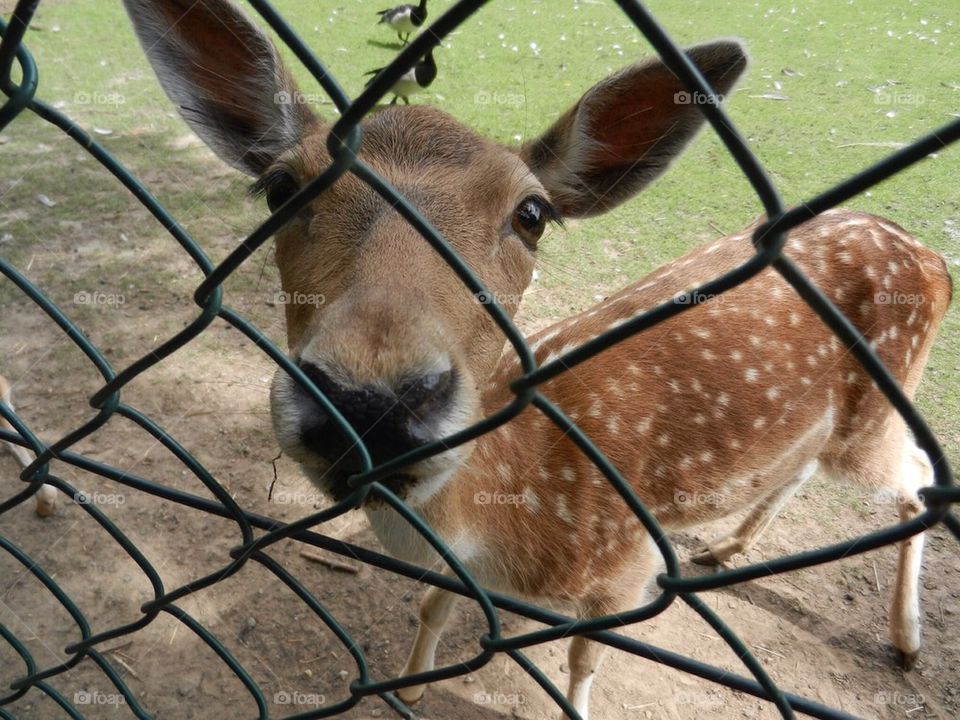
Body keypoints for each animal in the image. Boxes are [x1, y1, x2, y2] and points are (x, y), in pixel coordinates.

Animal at [123, 1, 952, 718]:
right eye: (280, 188)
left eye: (532, 214)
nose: (370, 402)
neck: (510, 520)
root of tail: (931, 256)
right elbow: (432, 601)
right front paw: (412, 684)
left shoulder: (626, 567)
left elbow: (584, 658)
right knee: (807, 469)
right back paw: (728, 545)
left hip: (879, 408)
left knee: (917, 476)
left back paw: (908, 640)